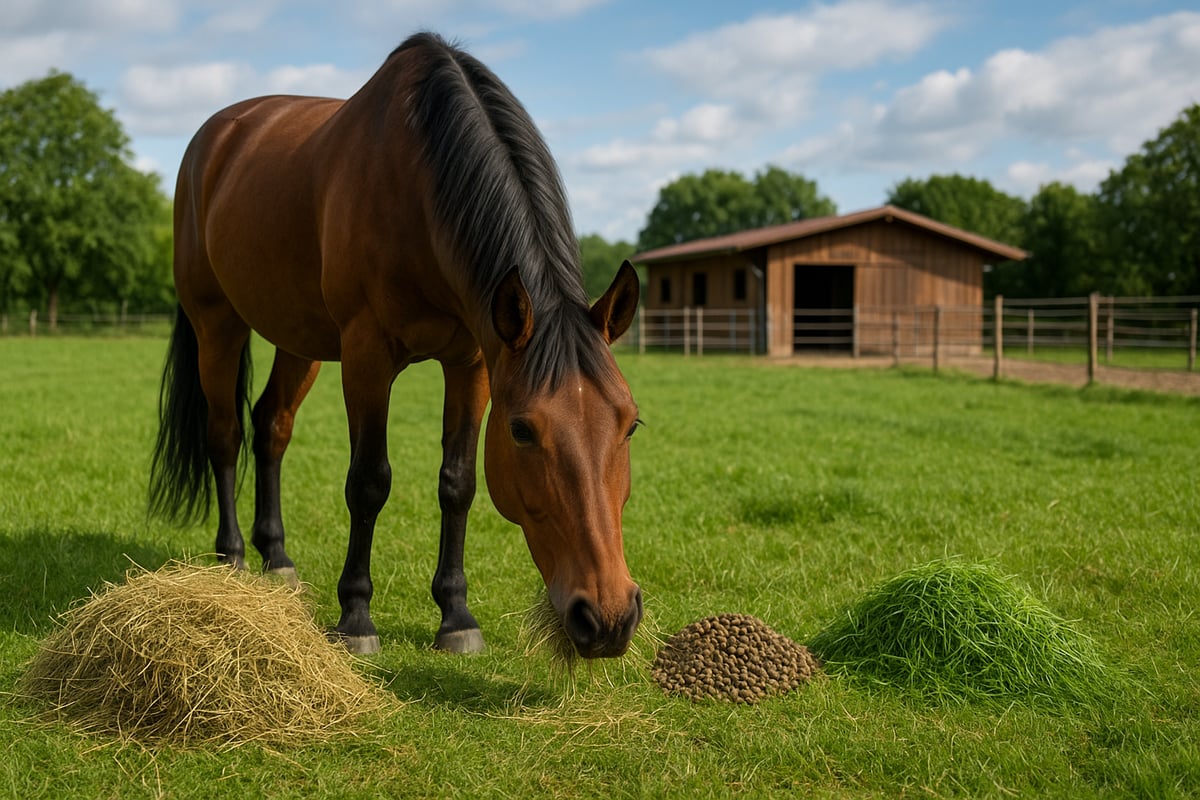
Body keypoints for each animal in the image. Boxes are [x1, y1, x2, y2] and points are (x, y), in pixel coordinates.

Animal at [149, 32, 643, 658]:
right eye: (522, 431)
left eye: (630, 423)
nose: (607, 617)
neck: (419, 188)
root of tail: (212, 139)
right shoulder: (367, 357)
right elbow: (368, 481)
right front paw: (356, 616)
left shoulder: (474, 362)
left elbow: (458, 482)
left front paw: (456, 616)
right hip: (218, 325)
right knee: (224, 435)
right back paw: (232, 558)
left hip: (300, 339)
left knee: (271, 426)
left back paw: (277, 557)